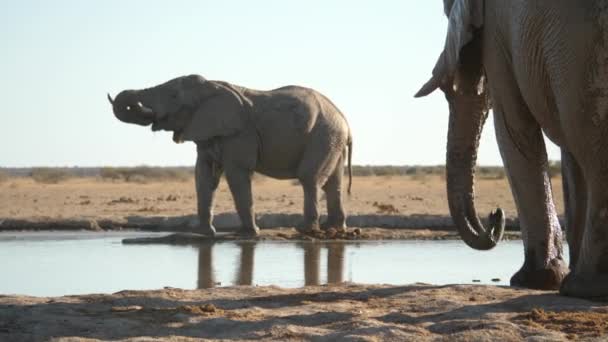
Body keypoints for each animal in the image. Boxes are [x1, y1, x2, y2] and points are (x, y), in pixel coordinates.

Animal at [109, 74, 352, 238]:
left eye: (173, 95)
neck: (211, 86)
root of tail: (345, 122)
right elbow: (203, 176)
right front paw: (204, 234)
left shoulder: (240, 133)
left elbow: (236, 174)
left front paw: (247, 234)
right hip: (332, 139)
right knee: (333, 183)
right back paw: (334, 229)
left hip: (323, 134)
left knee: (309, 177)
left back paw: (305, 230)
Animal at [416, 0, 608, 300]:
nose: (495, 214)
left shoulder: (497, 38)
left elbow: (512, 128)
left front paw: (533, 280)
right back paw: (587, 287)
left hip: (582, 51)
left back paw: (584, 287)